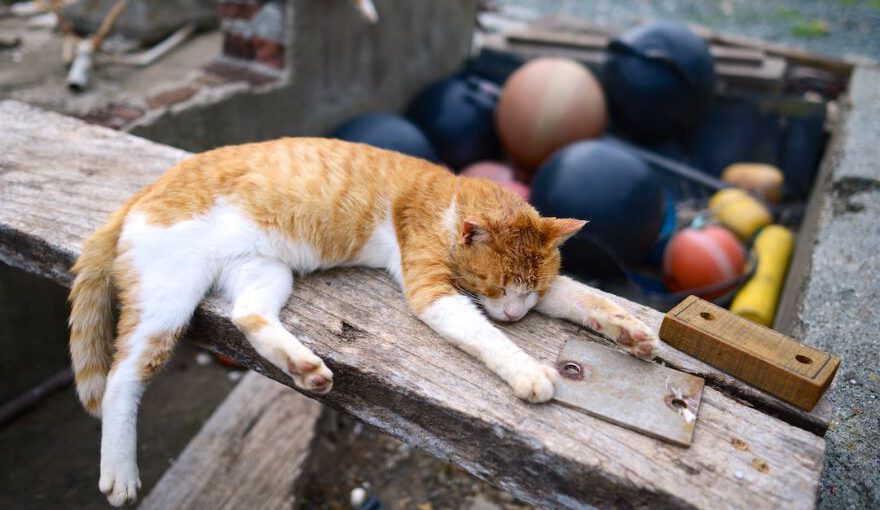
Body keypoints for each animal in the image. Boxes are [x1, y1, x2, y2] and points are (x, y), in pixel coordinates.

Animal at [69, 138, 656, 506]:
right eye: (494, 289)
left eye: (528, 292)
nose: (515, 314)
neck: (448, 198)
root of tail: (146, 190)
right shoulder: (432, 291)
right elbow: (484, 335)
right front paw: (528, 371)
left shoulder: (547, 290)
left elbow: (582, 296)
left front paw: (631, 330)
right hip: (168, 300)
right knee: (122, 376)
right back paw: (119, 471)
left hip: (263, 270)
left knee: (248, 313)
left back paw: (305, 368)